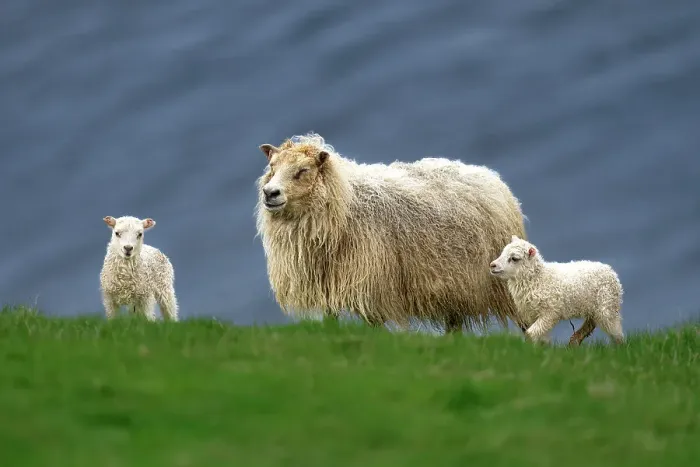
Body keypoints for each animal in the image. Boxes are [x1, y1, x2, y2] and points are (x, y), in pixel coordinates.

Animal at [255, 132, 529, 333]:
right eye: (272, 166)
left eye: (303, 171)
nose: (270, 193)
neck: (344, 202)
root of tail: (491, 177)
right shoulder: (330, 284)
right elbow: (331, 320)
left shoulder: (372, 285)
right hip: (455, 287)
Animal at [489, 235, 624, 345]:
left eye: (514, 258)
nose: (492, 265)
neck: (539, 279)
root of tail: (610, 270)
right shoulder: (532, 314)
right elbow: (541, 337)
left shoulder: (549, 313)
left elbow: (530, 333)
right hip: (593, 309)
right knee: (590, 324)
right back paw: (574, 343)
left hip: (607, 306)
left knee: (616, 332)